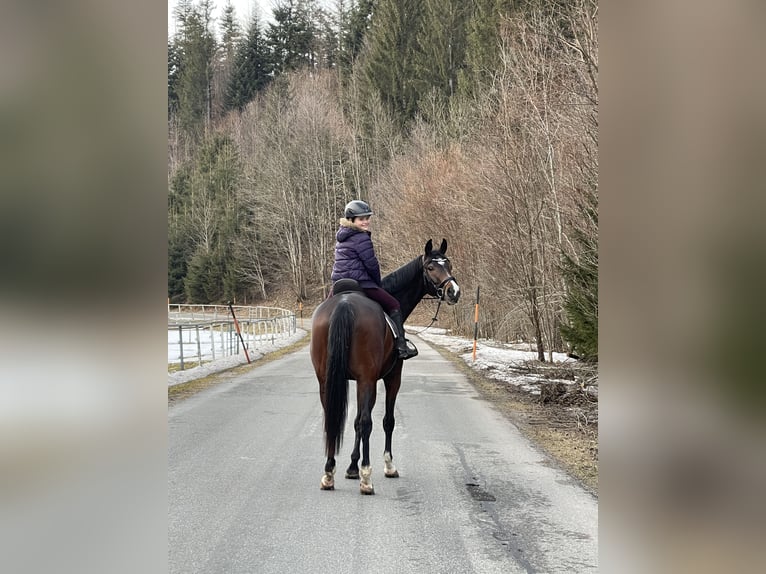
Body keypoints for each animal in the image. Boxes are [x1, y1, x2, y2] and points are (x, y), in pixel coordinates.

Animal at [308, 238, 462, 496]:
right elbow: (385, 421)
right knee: (367, 423)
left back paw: (329, 474)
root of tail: (344, 303)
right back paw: (366, 478)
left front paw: (351, 467)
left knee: (334, 418)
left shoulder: (360, 381)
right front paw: (386, 465)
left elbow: (356, 421)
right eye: (431, 267)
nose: (454, 291)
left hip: (327, 379)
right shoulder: (390, 378)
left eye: (448, 263)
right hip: (368, 379)